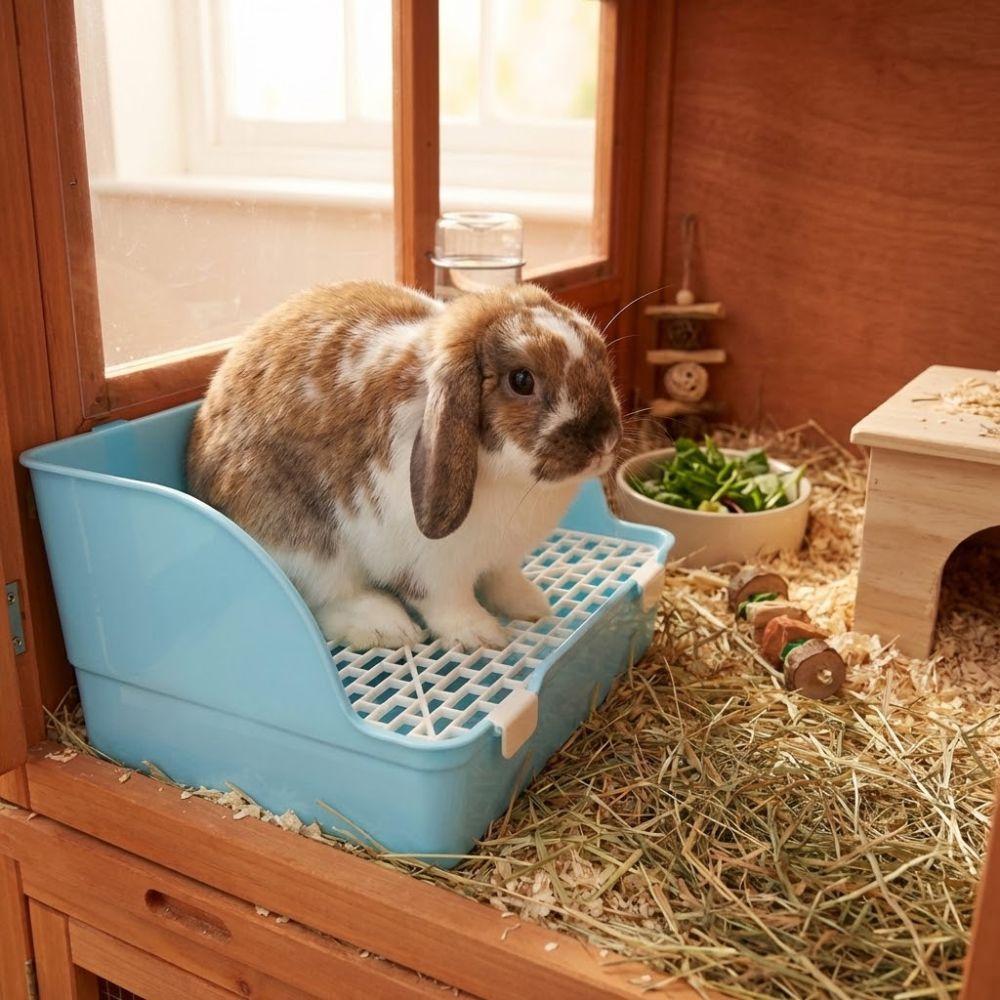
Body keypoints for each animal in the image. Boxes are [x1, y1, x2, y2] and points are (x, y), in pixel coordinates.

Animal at [187, 280, 623, 651]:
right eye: (521, 380)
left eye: (599, 353)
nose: (605, 440)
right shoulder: (431, 568)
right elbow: (447, 604)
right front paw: (481, 635)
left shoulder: (500, 558)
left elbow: (503, 578)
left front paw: (532, 605)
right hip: (303, 544)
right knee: (328, 596)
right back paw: (388, 627)